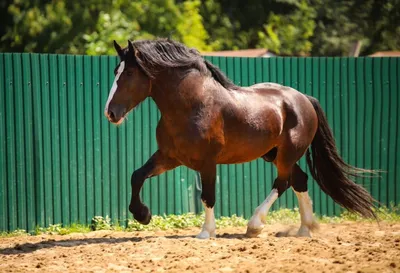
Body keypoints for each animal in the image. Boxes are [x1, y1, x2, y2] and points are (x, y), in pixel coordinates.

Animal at [104, 38, 376, 238]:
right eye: (116, 71)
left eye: (129, 73)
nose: (110, 113)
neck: (191, 106)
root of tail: (303, 99)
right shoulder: (169, 157)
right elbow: (137, 176)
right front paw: (143, 215)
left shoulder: (207, 163)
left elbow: (208, 195)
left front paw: (206, 232)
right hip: (274, 154)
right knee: (299, 180)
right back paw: (305, 229)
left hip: (287, 154)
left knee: (283, 182)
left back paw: (255, 225)